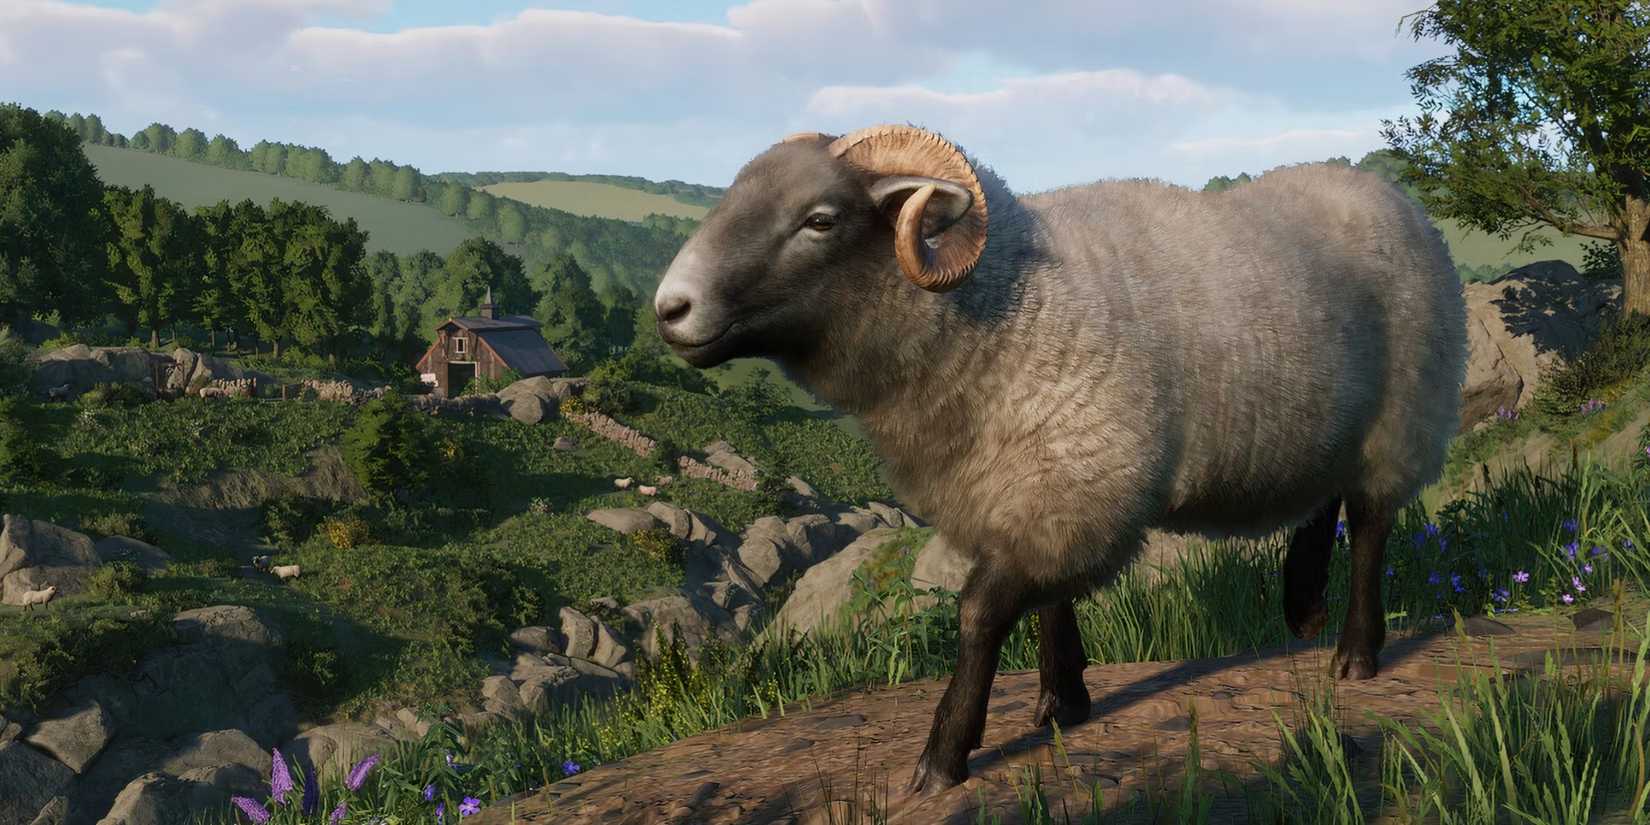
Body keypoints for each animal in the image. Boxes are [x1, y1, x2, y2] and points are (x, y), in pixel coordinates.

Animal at [651, 124, 1469, 794]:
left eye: (819, 220)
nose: (669, 309)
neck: (1006, 302)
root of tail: (1387, 191)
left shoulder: (1073, 477)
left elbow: (981, 612)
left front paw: (944, 756)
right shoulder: (1043, 483)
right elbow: (1049, 598)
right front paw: (1059, 703)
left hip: (1404, 410)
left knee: (1370, 521)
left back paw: (1356, 651)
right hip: (1331, 420)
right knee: (1324, 499)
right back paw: (1302, 605)